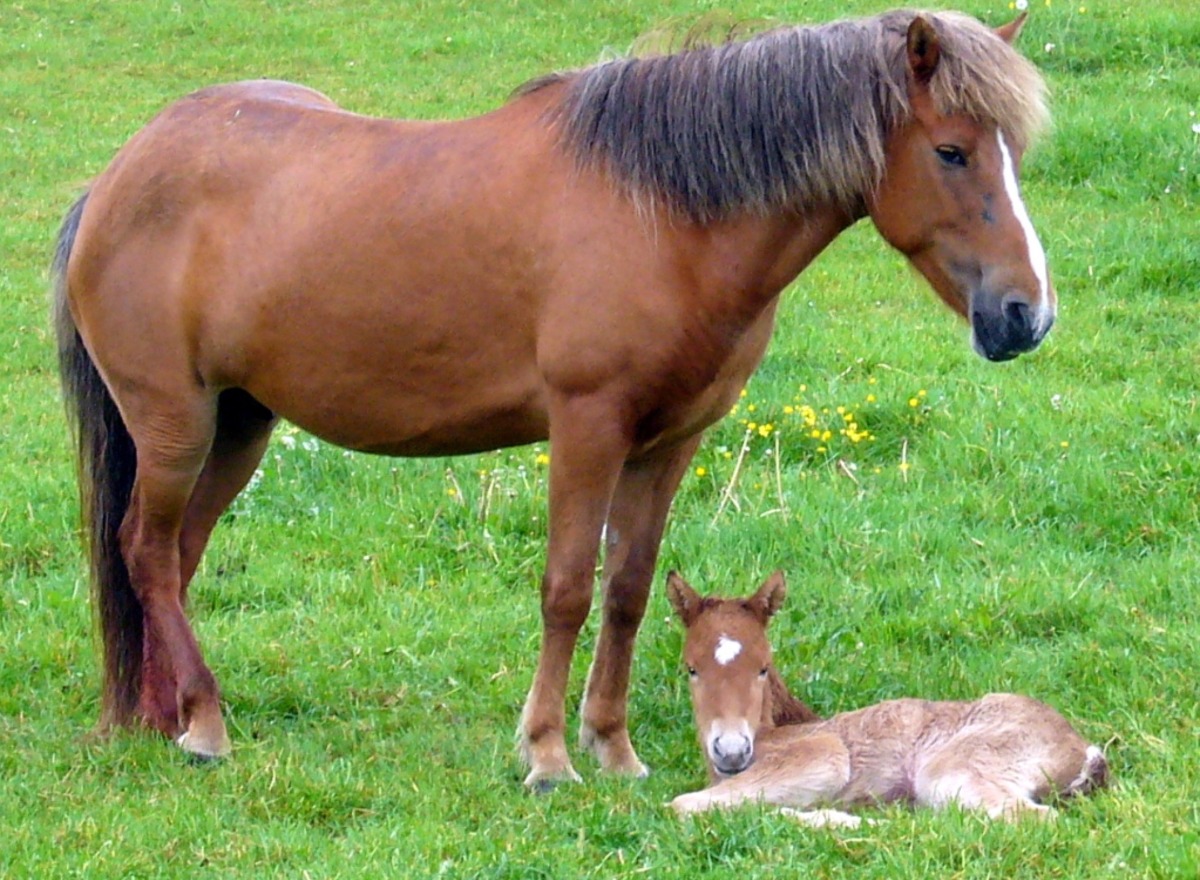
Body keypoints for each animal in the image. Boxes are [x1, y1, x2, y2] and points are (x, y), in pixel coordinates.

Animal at [51, 10, 1056, 787]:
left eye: (1010, 153)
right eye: (952, 151)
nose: (1027, 314)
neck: (662, 214)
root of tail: (115, 178)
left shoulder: (668, 442)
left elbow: (629, 589)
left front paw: (612, 747)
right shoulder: (586, 425)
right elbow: (566, 588)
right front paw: (545, 754)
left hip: (240, 425)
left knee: (175, 556)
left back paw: (166, 717)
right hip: (175, 423)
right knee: (146, 551)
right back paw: (206, 724)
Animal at [667, 569, 1104, 825]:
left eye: (762, 667)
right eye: (691, 669)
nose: (731, 750)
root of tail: (1083, 748)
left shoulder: (820, 755)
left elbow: (680, 804)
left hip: (955, 768)